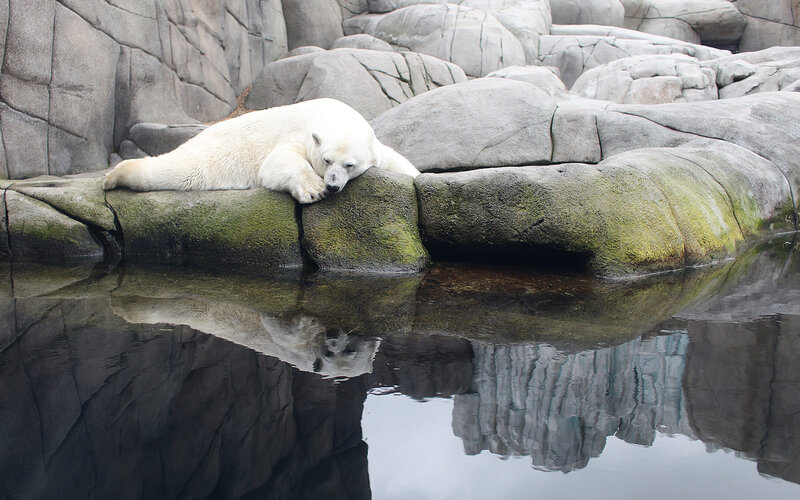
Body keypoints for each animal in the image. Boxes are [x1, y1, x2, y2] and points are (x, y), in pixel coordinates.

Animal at [103, 98, 419, 203]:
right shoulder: (299, 133)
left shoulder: (374, 146)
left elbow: (395, 160)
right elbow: (277, 162)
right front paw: (313, 190)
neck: (331, 113)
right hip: (216, 152)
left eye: (349, 165)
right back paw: (112, 177)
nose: (331, 186)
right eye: (326, 160)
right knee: (183, 170)